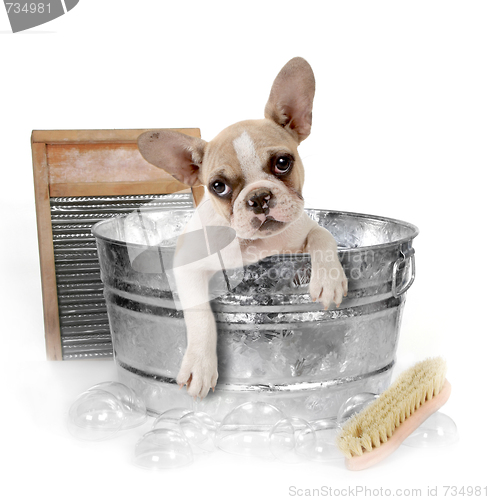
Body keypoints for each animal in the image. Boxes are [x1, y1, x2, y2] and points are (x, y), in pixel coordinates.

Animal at [136, 55, 348, 398]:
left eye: (282, 163)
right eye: (218, 186)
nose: (259, 197)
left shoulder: (304, 228)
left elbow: (323, 236)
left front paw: (329, 279)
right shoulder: (188, 267)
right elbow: (201, 316)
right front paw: (200, 364)